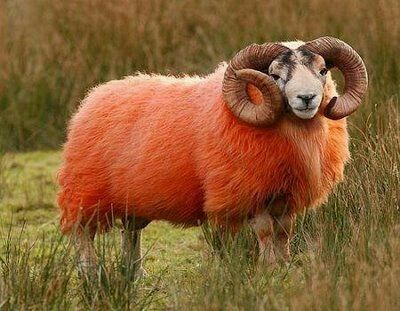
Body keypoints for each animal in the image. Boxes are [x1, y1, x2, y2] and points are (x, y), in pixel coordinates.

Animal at [57, 36, 368, 276]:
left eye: (323, 70)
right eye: (275, 75)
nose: (307, 98)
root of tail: (94, 97)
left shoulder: (284, 195)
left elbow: (284, 232)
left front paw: (283, 265)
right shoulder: (248, 191)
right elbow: (266, 231)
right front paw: (267, 268)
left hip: (131, 197)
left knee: (131, 231)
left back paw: (134, 272)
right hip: (86, 188)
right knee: (81, 232)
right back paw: (90, 272)